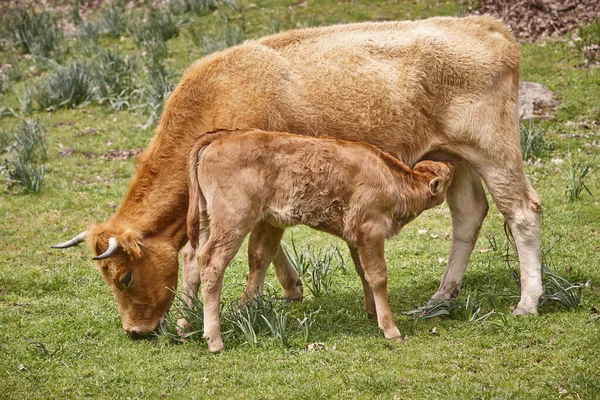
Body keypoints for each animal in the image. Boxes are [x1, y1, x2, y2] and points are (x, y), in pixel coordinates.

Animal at [185, 130, 452, 352]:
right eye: (448, 175)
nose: (450, 164)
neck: (391, 179)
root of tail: (220, 138)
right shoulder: (371, 231)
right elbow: (378, 276)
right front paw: (390, 328)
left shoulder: (355, 237)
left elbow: (363, 272)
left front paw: (371, 311)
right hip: (232, 222)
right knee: (211, 262)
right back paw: (214, 340)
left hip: (206, 221)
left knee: (193, 256)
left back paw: (185, 325)